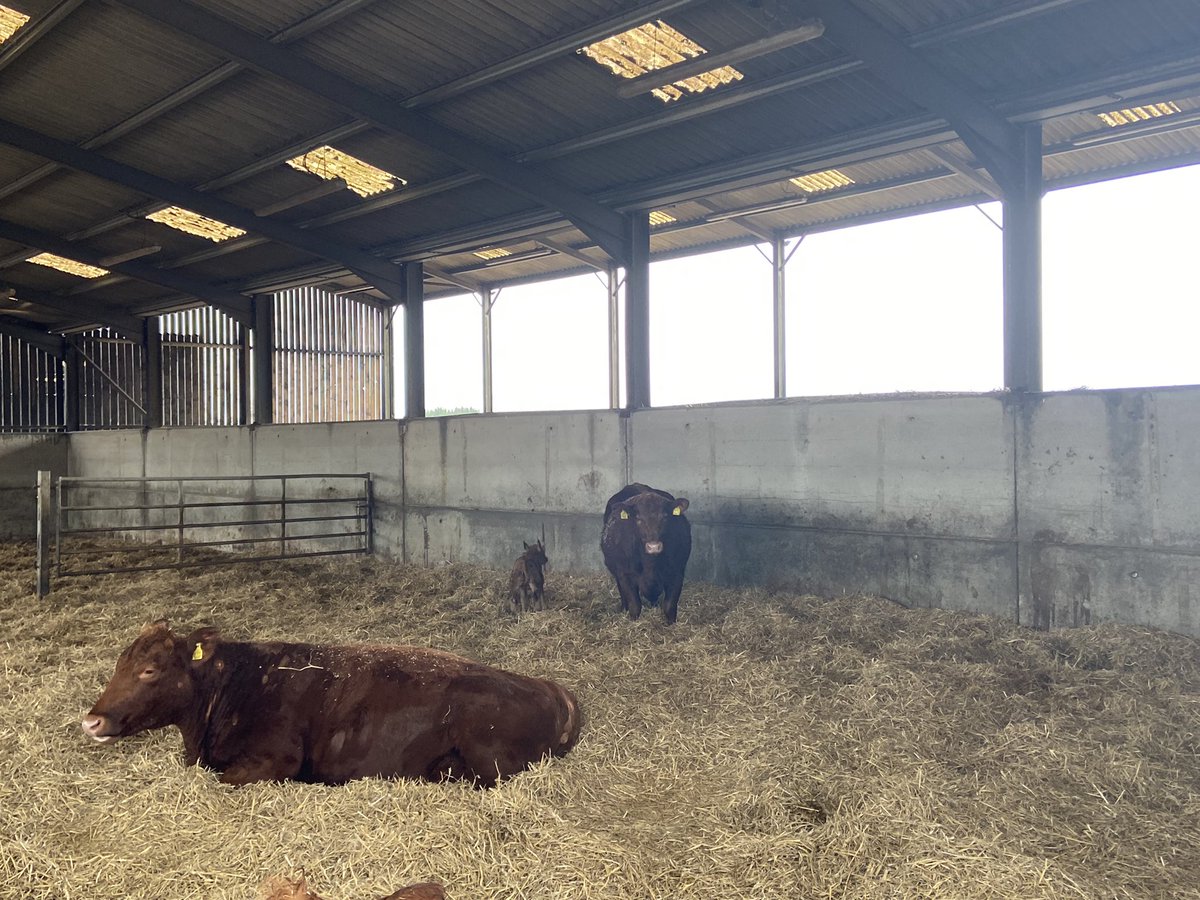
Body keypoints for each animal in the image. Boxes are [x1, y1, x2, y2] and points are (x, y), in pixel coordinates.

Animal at [81, 621, 582, 787]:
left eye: (150, 670)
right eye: (120, 662)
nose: (92, 720)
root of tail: (549, 687)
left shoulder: (276, 759)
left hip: (489, 756)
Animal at [600, 483, 692, 625]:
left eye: (664, 517)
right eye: (638, 519)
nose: (653, 547)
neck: (650, 564)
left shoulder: (677, 573)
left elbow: (669, 605)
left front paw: (671, 624)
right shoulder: (625, 574)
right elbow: (635, 605)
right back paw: (623, 608)